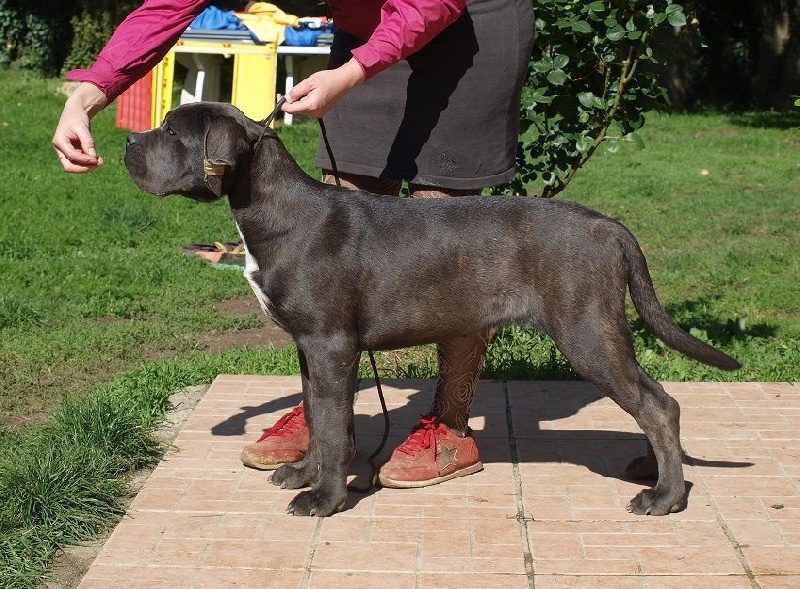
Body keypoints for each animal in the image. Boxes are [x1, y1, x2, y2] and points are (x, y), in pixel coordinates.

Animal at [124, 102, 740, 517]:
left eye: (172, 131)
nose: (128, 143)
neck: (276, 211)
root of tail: (608, 225)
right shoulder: (310, 348)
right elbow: (323, 420)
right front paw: (304, 474)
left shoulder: (330, 344)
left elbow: (332, 425)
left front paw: (325, 499)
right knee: (656, 401)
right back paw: (653, 472)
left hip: (587, 332)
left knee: (657, 405)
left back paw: (664, 496)